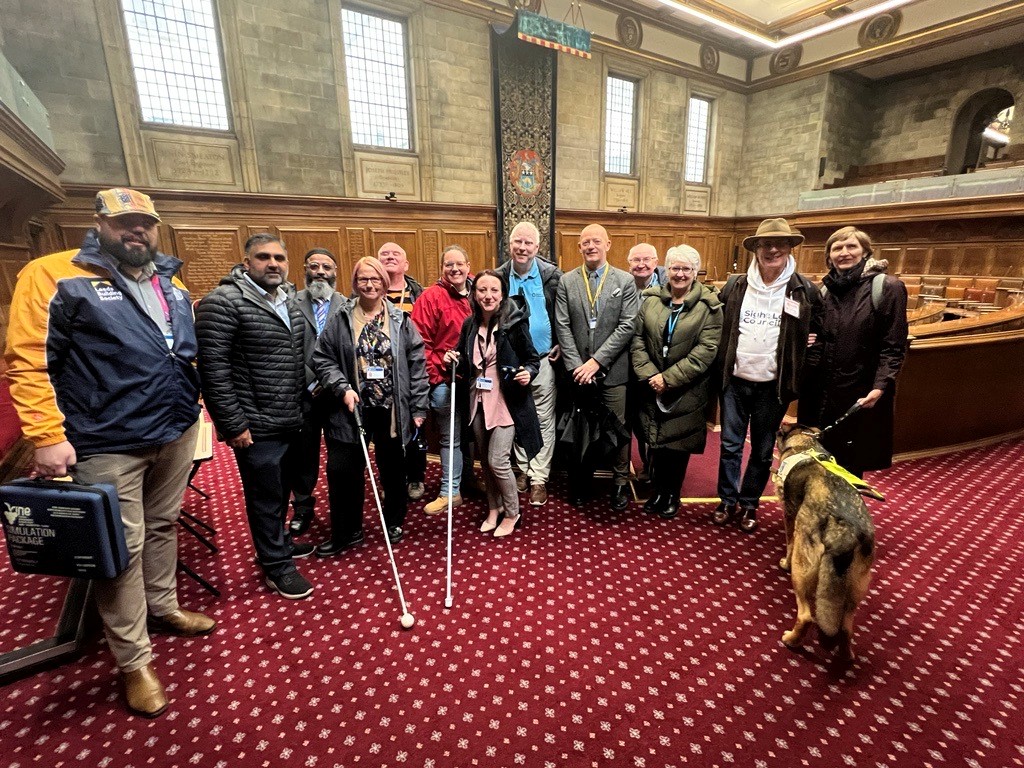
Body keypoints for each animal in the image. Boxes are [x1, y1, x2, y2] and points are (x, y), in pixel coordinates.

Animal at [770, 423, 876, 659]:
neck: (806, 444)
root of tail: (845, 532)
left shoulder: (789, 515)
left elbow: (789, 542)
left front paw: (784, 562)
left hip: (803, 566)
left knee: (806, 616)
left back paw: (791, 640)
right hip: (857, 586)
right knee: (846, 627)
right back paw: (846, 656)